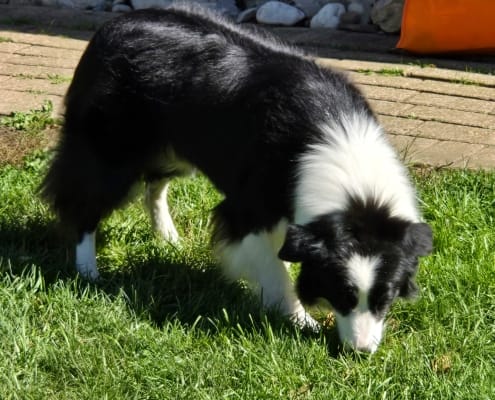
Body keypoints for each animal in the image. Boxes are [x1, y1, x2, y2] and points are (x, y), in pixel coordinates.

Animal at [41, 4, 433, 353]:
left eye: (385, 298)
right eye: (342, 294)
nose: (362, 352)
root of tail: (109, 28)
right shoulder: (248, 208)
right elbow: (274, 272)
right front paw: (301, 321)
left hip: (174, 150)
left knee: (154, 185)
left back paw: (167, 237)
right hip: (111, 150)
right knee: (84, 200)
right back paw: (88, 272)